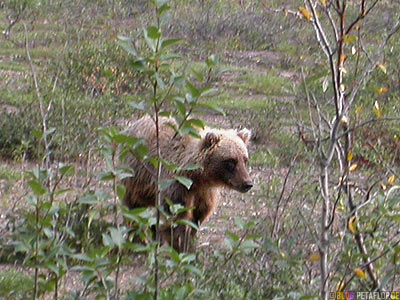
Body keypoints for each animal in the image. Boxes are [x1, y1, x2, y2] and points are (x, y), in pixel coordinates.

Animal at [122, 115, 253, 251]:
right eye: (231, 162)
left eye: (245, 160)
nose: (247, 184)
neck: (197, 176)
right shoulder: (176, 183)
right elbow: (176, 215)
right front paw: (181, 245)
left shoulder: (204, 190)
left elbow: (200, 214)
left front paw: (190, 240)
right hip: (135, 175)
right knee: (134, 206)